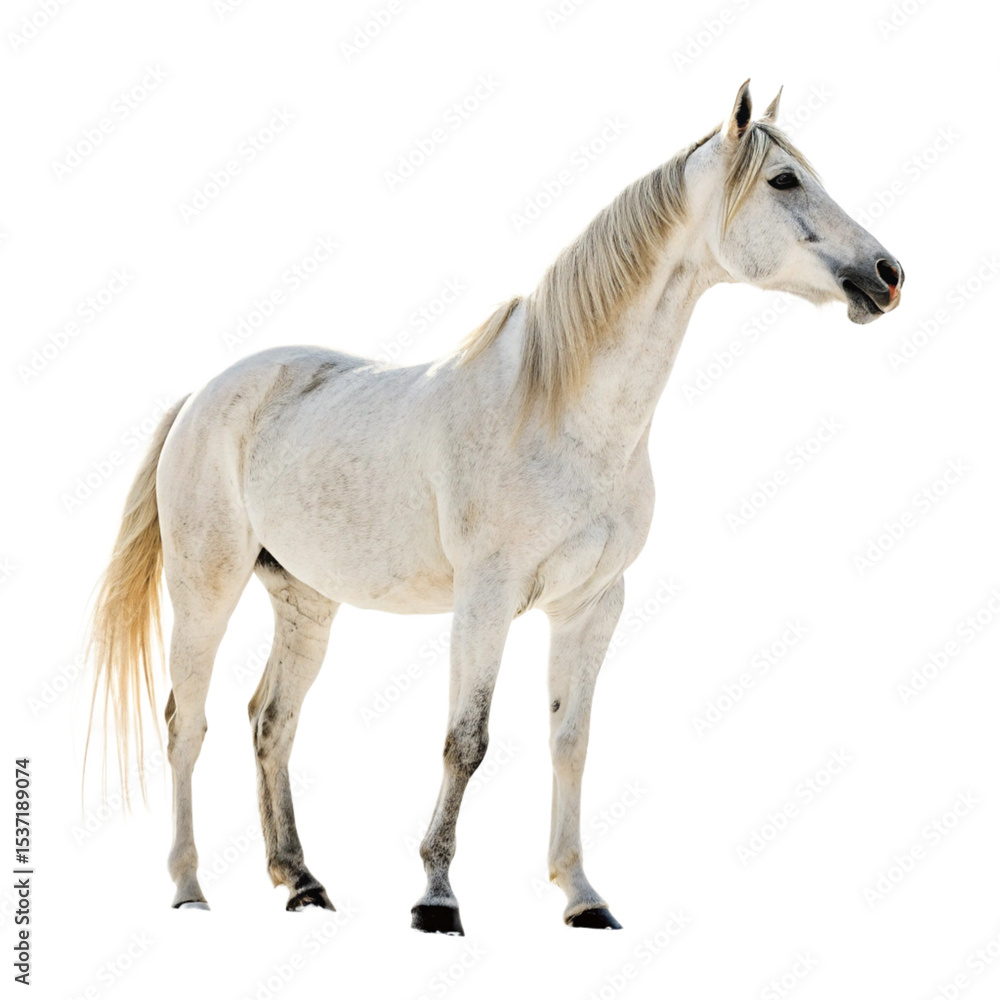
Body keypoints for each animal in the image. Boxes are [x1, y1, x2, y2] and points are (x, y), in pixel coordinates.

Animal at [85, 80, 903, 934]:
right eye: (783, 180)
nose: (887, 274)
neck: (560, 412)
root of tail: (203, 397)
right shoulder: (486, 600)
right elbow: (465, 741)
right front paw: (436, 899)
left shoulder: (591, 606)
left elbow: (571, 740)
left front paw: (582, 896)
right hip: (205, 588)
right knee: (187, 723)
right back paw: (188, 887)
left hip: (304, 600)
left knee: (271, 721)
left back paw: (302, 882)